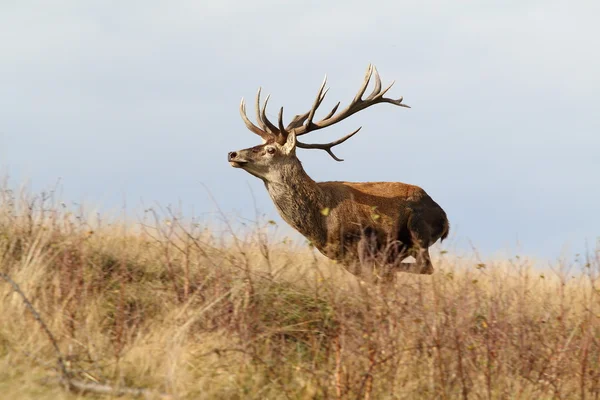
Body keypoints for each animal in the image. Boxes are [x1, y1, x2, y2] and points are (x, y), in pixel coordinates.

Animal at [227, 66, 448, 278]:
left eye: (271, 150)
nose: (232, 153)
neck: (321, 223)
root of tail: (445, 219)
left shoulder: (362, 243)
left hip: (417, 230)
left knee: (424, 265)